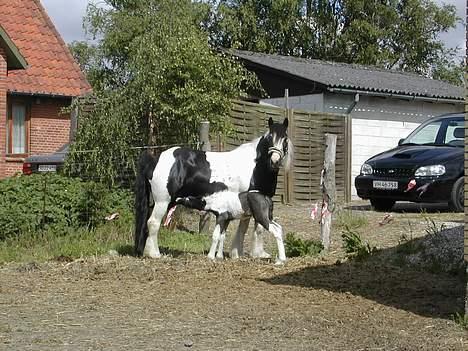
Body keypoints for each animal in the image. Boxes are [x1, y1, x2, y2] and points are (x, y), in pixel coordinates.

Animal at [133, 118, 290, 258]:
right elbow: (248, 228)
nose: (275, 161)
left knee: (147, 222)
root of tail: (155, 159)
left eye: (285, 139)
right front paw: (242, 253)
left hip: (157, 202)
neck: (255, 166)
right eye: (270, 138)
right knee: (153, 223)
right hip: (162, 201)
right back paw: (154, 254)